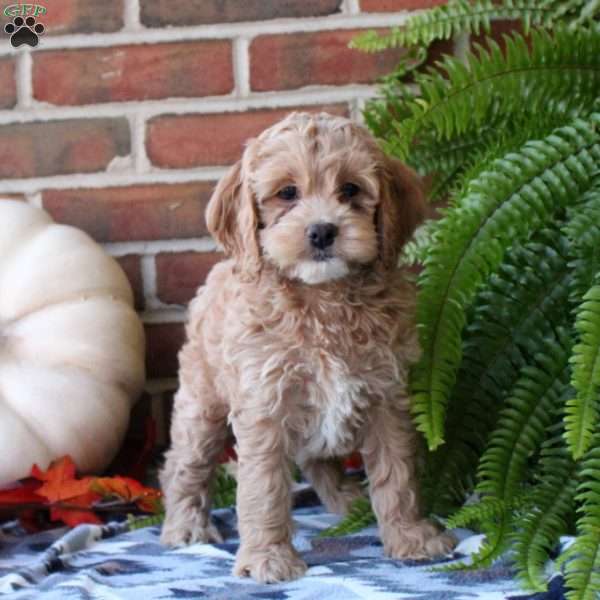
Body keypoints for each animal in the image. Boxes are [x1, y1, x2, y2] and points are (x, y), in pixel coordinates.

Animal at [159, 111, 454, 580]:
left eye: (350, 189)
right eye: (287, 193)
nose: (321, 232)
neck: (324, 298)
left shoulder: (388, 397)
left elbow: (398, 474)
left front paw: (411, 536)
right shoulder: (264, 403)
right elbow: (263, 488)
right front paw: (268, 558)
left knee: (317, 460)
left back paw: (348, 501)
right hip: (201, 406)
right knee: (184, 465)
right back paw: (186, 524)